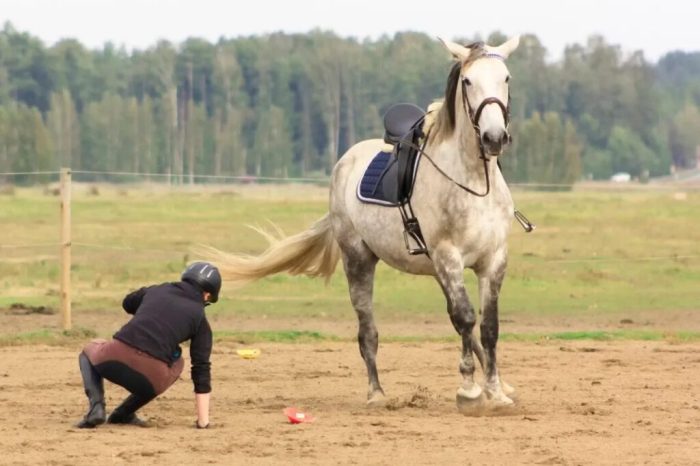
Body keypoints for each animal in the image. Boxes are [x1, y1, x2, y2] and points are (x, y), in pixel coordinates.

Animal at [211, 36, 524, 408]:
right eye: (468, 81)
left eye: (506, 78)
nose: (494, 137)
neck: (474, 183)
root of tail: (346, 160)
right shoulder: (448, 257)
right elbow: (465, 318)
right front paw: (470, 389)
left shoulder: (493, 260)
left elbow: (488, 326)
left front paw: (496, 391)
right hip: (360, 259)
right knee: (368, 330)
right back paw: (376, 392)